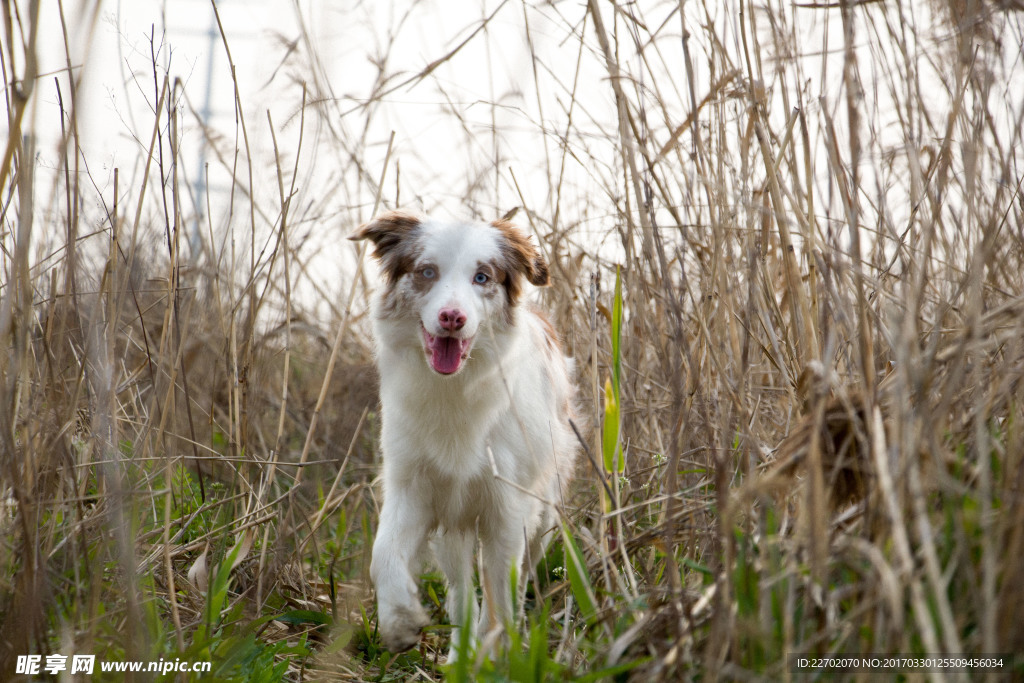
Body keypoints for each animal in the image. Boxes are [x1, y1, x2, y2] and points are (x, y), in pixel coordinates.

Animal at [350, 209, 577, 655]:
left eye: (482, 277)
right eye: (427, 271)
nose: (451, 318)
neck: (454, 389)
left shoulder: (507, 508)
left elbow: (500, 590)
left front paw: (497, 652)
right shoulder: (412, 487)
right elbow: (383, 553)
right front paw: (400, 620)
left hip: (543, 509)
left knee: (518, 572)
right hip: (453, 525)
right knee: (459, 588)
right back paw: (458, 650)